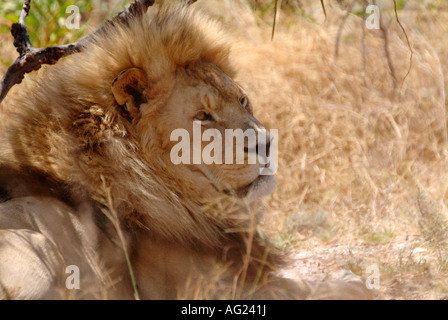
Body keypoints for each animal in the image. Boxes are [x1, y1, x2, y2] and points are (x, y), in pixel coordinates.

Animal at [0, 3, 372, 300]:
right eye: (203, 116)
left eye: (242, 100)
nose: (266, 143)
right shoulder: (218, 287)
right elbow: (322, 287)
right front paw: (353, 279)